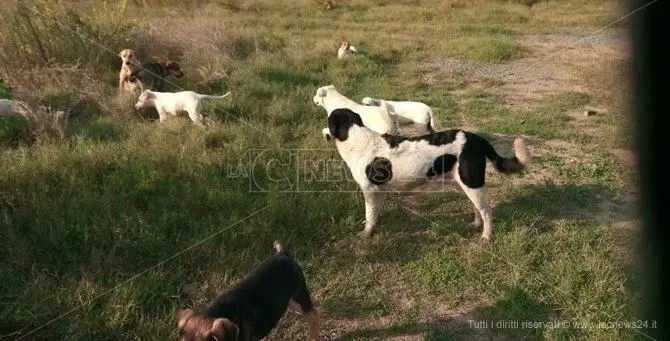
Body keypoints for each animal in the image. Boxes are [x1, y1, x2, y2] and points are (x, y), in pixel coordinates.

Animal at [322, 107, 532, 240]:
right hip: (463, 183)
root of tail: (477, 139)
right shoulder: (378, 192)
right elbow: (374, 214)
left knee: (487, 210)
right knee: (477, 207)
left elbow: (369, 215)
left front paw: (366, 234)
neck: (357, 137)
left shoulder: (370, 191)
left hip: (471, 181)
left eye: (328, 121)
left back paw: (486, 236)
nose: (323, 132)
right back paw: (476, 225)